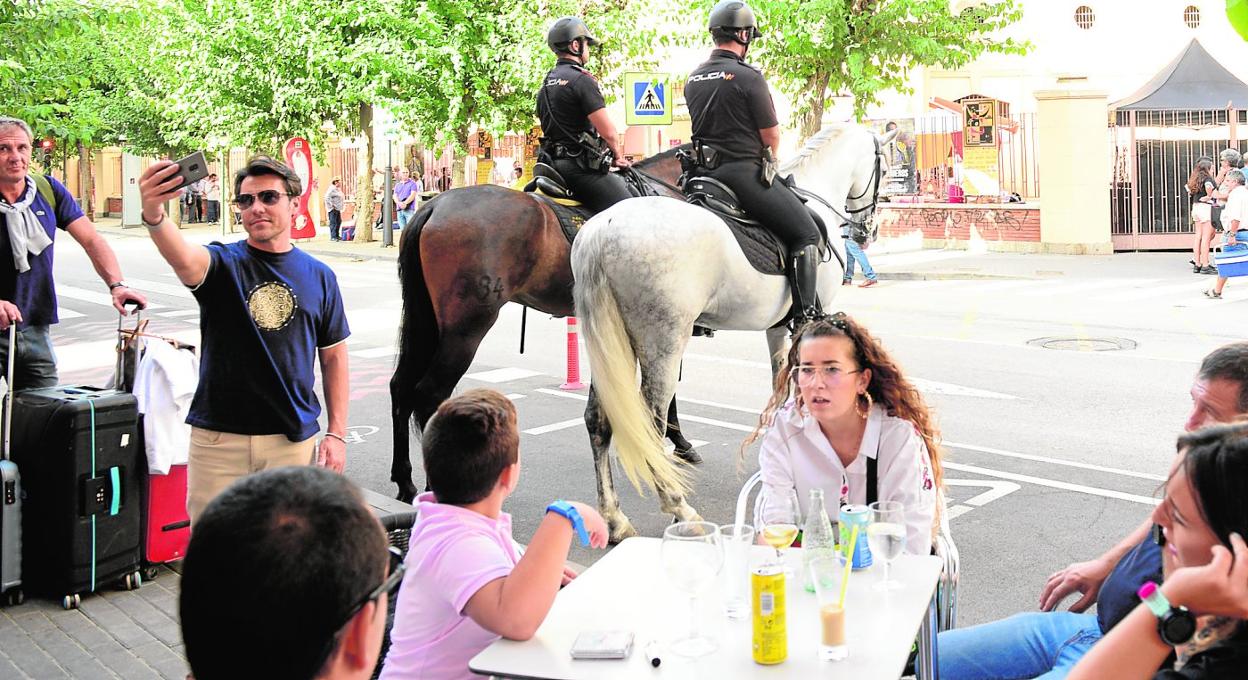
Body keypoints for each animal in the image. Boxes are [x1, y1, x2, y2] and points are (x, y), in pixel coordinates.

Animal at [389, 147, 688, 499]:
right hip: (465, 330)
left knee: (400, 387)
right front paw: (678, 441)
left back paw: (405, 481)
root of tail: (433, 205)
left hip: (429, 325)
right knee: (429, 393)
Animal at [571, 123, 893, 541]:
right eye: (885, 167)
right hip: (662, 342)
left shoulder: (778, 328)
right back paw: (680, 509)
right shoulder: (806, 323)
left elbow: (779, 387)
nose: (869, 230)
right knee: (651, 421)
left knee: (599, 420)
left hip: (611, 345)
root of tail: (600, 231)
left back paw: (614, 517)